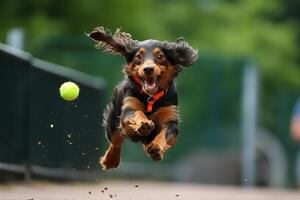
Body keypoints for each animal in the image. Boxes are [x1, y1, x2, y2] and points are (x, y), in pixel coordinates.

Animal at [87, 26, 197, 170]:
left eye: (160, 56)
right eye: (139, 56)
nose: (148, 69)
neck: (151, 97)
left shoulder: (170, 118)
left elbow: (165, 134)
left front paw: (156, 147)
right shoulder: (129, 107)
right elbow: (136, 113)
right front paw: (144, 123)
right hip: (114, 121)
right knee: (116, 140)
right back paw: (110, 160)